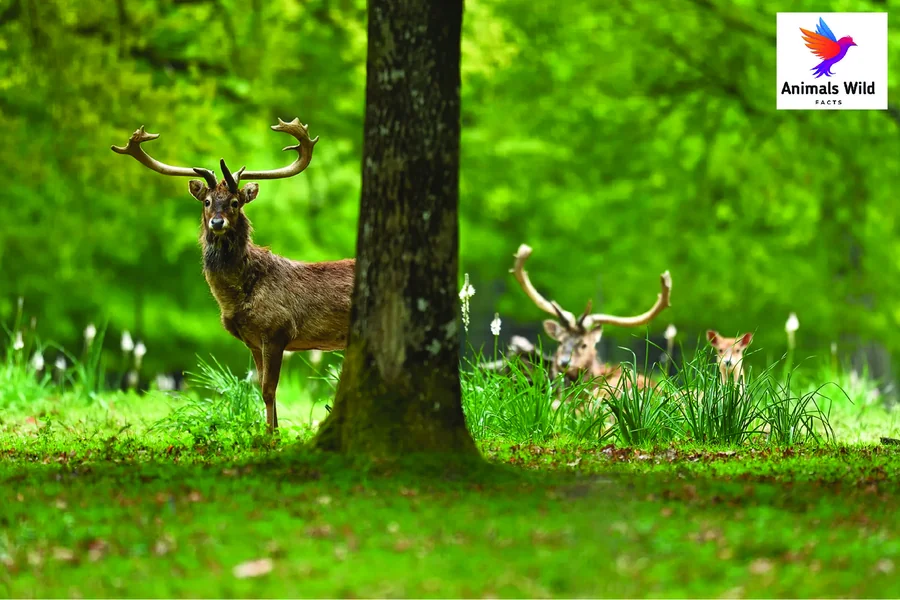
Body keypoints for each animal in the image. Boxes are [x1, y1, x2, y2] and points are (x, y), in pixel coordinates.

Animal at [111, 118, 354, 433]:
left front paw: (269, 436)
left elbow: (269, 390)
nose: (217, 222)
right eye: (206, 201)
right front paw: (273, 432)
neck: (236, 297)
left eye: (236, 202)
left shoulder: (277, 329)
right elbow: (262, 389)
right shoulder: (253, 339)